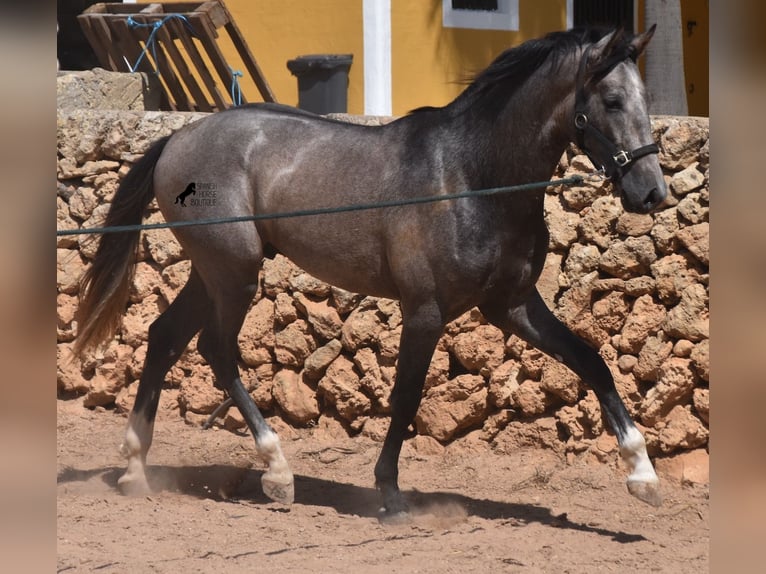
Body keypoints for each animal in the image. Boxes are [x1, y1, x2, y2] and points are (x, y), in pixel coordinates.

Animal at [75, 27, 668, 520]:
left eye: (646, 100)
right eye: (611, 101)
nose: (652, 193)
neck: (472, 177)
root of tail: (176, 140)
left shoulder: (512, 305)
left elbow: (592, 362)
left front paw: (643, 475)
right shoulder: (425, 312)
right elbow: (405, 398)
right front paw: (389, 493)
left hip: (214, 273)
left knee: (164, 337)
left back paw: (135, 468)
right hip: (233, 273)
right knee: (216, 351)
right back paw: (277, 472)